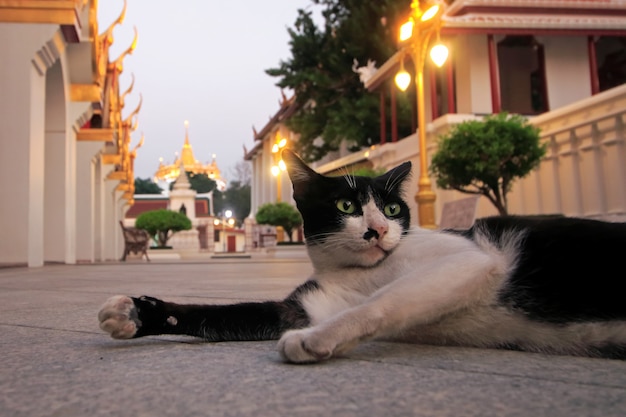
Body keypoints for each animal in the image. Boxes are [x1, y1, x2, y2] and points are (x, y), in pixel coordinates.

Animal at [97, 149, 624, 360]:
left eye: (392, 208)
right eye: (346, 207)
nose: (378, 230)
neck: (360, 273)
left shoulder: (470, 260)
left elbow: (385, 301)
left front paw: (315, 340)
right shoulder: (307, 304)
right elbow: (217, 315)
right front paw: (138, 312)